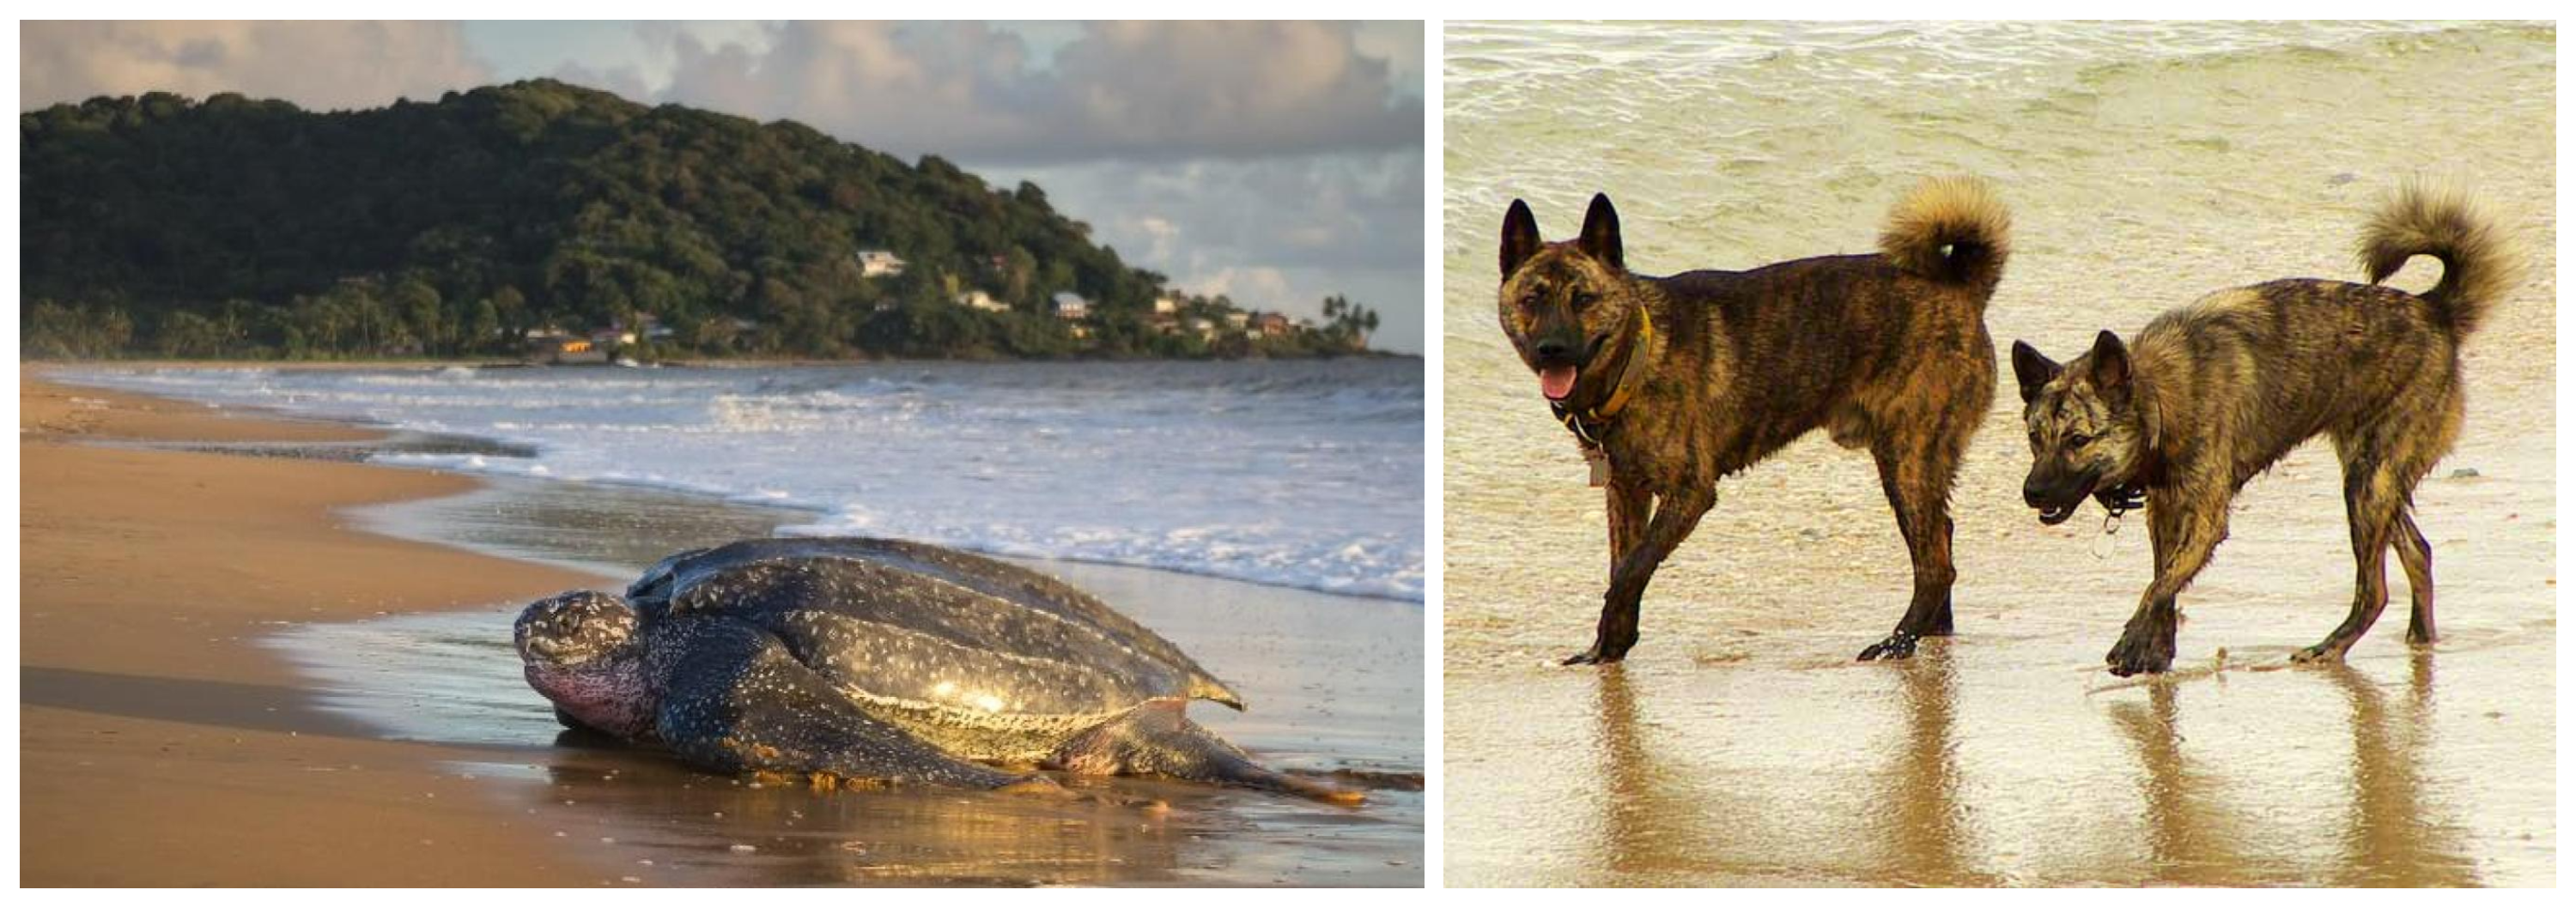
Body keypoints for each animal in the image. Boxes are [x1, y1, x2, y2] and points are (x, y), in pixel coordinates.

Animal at [1504, 177, 2020, 663]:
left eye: (1584, 299)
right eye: (1532, 299)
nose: (1552, 349)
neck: (1641, 354)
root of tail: (1960, 289)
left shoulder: (1690, 493)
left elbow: (1631, 569)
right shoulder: (1626, 491)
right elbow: (1623, 566)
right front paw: (1609, 645)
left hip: (1907, 460)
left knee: (1935, 564)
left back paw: (1898, 641)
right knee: (1941, 539)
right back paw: (1933, 630)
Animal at [2009, 179, 2514, 674]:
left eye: (2078, 440)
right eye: (2035, 439)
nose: (2032, 493)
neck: (2161, 399)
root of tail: (2434, 310)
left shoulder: (2206, 520)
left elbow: (2160, 585)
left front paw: (2132, 644)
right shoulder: (2166, 511)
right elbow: (2164, 582)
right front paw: (2156, 650)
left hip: (2367, 484)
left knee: (2374, 590)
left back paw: (2329, 647)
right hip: (2377, 481)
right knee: (2418, 552)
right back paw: (2420, 640)